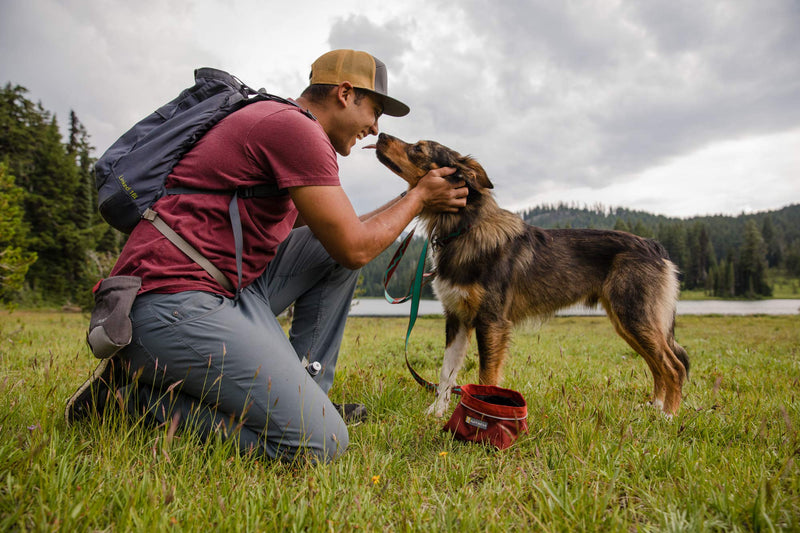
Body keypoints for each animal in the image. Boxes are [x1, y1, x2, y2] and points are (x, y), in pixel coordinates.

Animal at [372, 132, 692, 416]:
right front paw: (436, 413)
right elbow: (446, 374)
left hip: (634, 317)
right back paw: (655, 407)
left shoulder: (491, 322)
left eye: (418, 148)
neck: (463, 227)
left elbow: (485, 377)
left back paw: (668, 416)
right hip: (628, 322)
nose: (380, 134)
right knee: (658, 365)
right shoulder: (457, 319)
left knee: (673, 366)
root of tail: (653, 245)